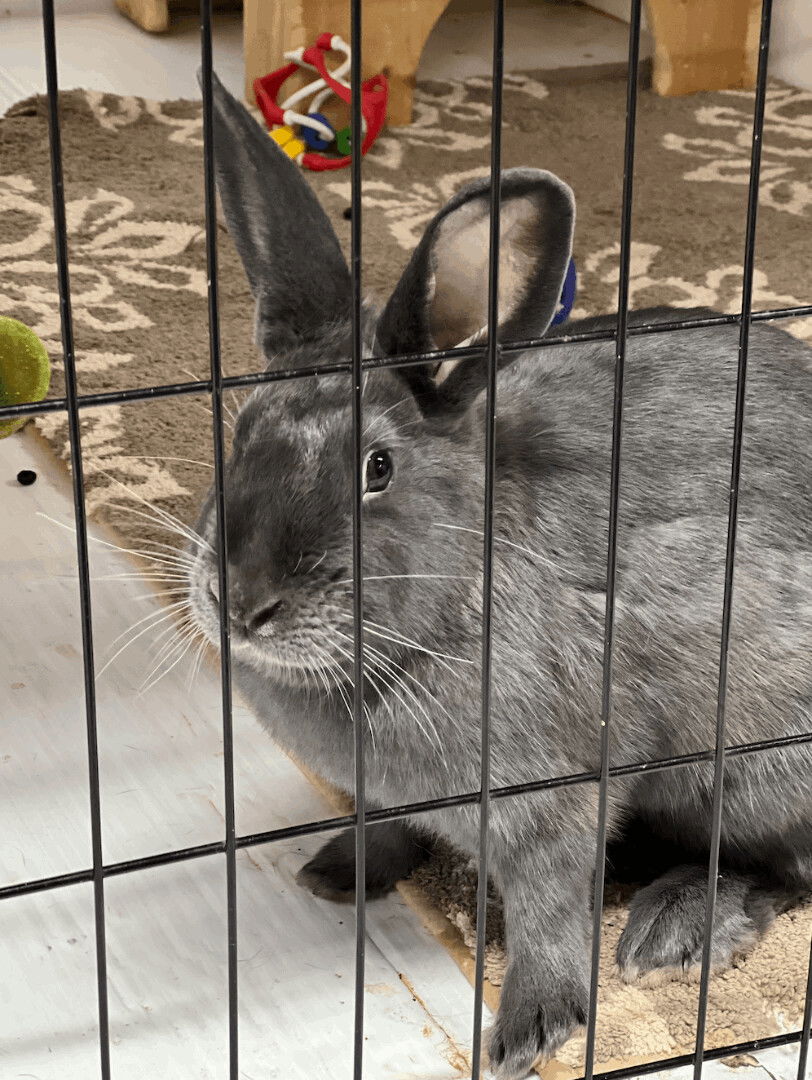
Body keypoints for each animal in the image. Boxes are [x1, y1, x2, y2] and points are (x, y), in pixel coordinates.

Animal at [186, 71, 812, 1075]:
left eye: (378, 469)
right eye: (239, 434)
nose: (241, 603)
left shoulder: (552, 798)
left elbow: (549, 913)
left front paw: (528, 1034)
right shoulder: (385, 792)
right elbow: (382, 827)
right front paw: (335, 877)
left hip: (759, 767)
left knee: (783, 870)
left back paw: (672, 928)